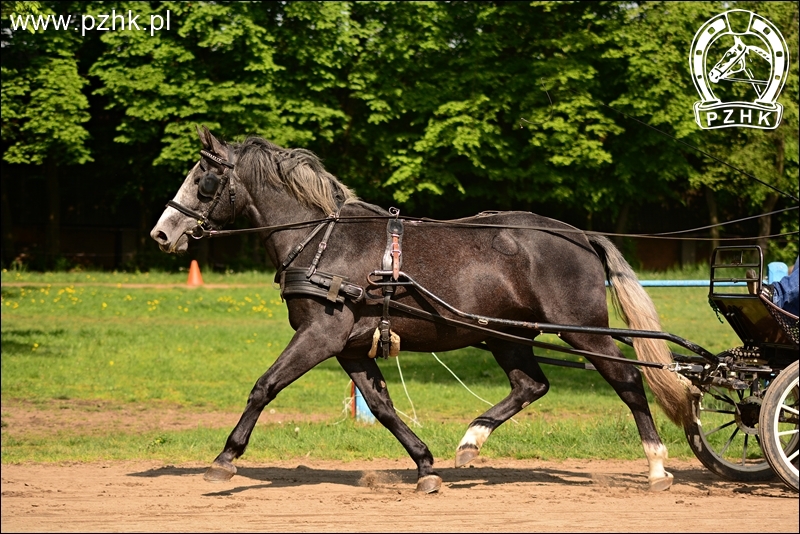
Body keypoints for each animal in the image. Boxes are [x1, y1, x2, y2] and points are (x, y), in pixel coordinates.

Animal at [152, 125, 692, 494]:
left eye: (203, 179)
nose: (161, 233)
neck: (323, 240)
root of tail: (578, 233)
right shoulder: (350, 348)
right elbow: (383, 406)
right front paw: (425, 466)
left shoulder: (320, 336)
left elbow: (264, 386)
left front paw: (226, 457)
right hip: (506, 335)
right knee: (531, 385)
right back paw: (470, 442)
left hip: (581, 329)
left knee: (628, 380)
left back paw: (657, 464)